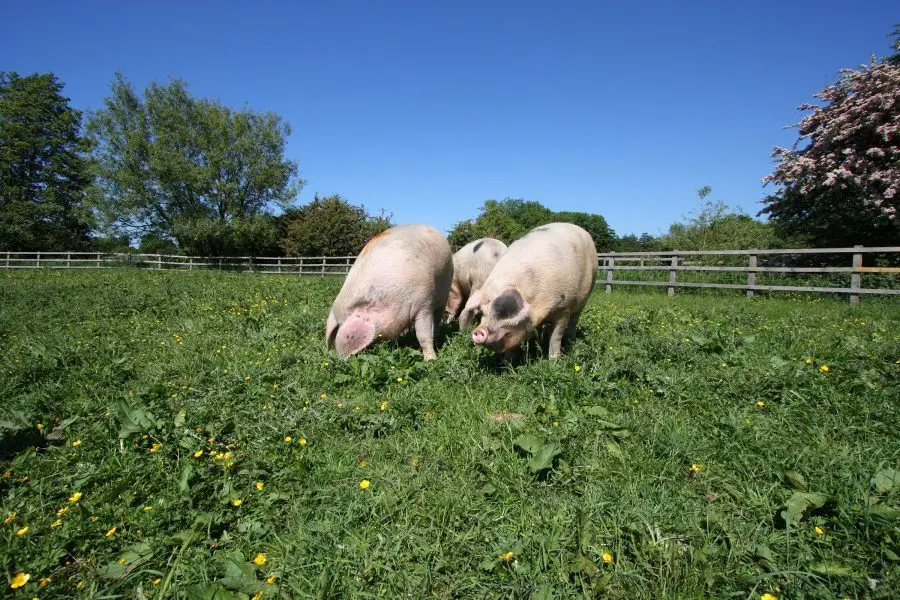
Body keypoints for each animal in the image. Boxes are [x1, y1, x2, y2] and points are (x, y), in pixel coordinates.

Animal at [325, 224, 453, 360]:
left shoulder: (424, 302)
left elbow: (423, 335)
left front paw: (431, 360)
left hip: (445, 290)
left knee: (438, 317)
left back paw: (437, 335)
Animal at [459, 222, 597, 359]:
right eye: (482, 312)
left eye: (504, 314)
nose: (478, 331)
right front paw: (506, 363)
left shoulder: (563, 308)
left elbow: (555, 337)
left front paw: (554, 359)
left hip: (585, 297)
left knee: (574, 321)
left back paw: (570, 342)